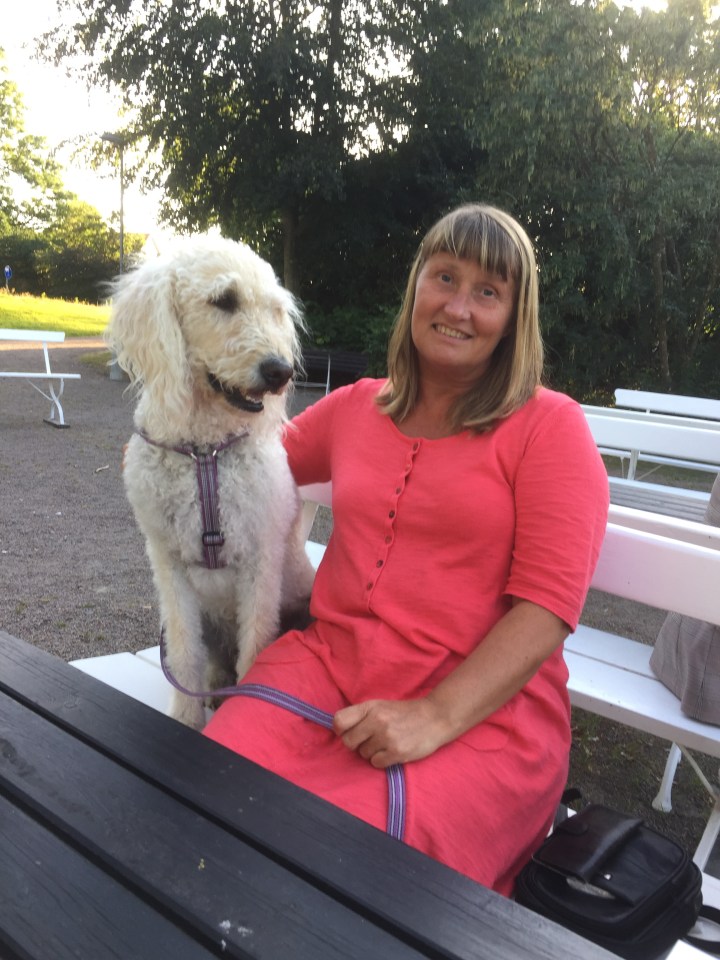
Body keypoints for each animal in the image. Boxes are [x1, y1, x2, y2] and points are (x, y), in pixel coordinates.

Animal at [106, 235, 316, 729]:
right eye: (224, 300)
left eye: (274, 309)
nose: (280, 372)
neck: (207, 454)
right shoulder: (170, 566)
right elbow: (185, 655)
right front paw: (185, 719)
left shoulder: (260, 562)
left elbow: (255, 650)